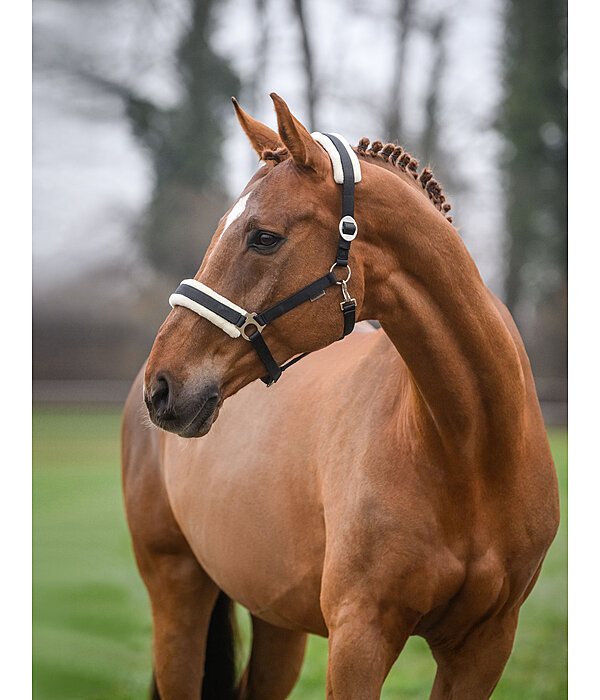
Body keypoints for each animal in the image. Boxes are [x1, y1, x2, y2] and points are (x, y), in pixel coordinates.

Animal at [120, 94, 556, 700]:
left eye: (264, 236)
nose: (162, 385)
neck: (471, 454)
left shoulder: (484, 647)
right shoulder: (359, 638)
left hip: (276, 621)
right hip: (177, 595)